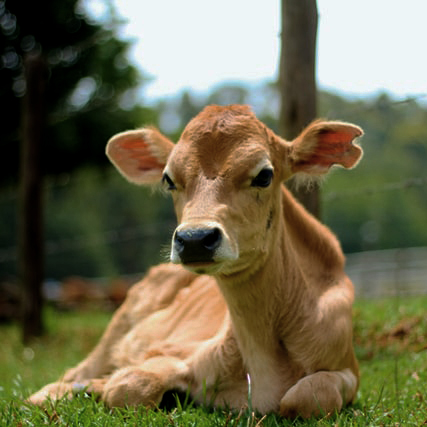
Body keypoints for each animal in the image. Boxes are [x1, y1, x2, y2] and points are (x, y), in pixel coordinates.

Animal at [29, 105, 364, 420]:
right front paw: (100, 387)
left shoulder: (348, 370)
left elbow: (309, 395)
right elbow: (131, 386)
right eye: (168, 179)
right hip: (116, 328)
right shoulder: (170, 351)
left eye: (264, 175)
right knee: (70, 376)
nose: (194, 238)